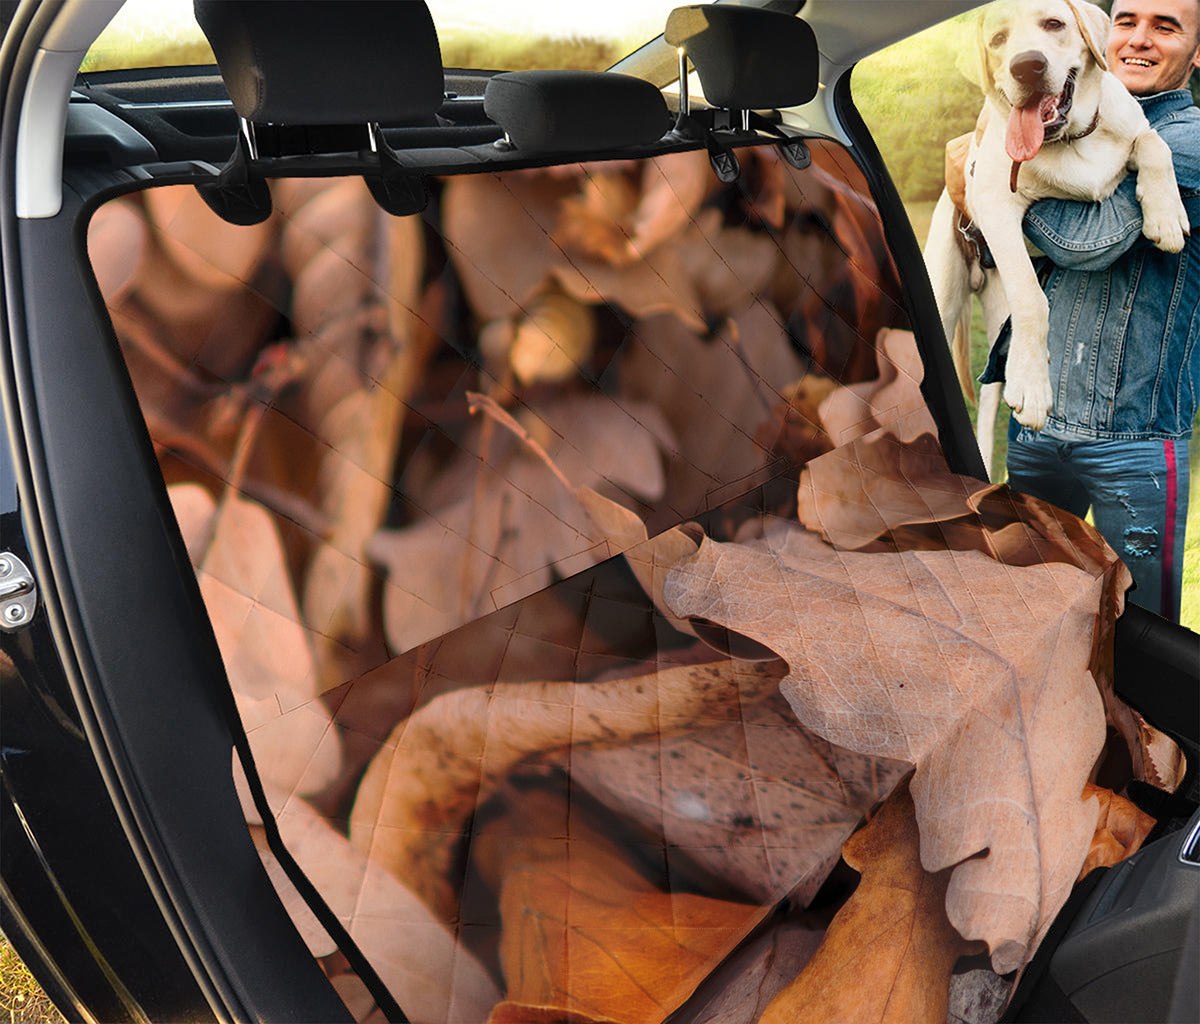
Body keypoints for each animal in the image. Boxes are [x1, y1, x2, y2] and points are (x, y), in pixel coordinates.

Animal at [916, 0, 1190, 475]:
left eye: (1054, 24)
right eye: (998, 40)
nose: (1027, 65)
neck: (1071, 141)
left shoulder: (1135, 129)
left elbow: (1155, 142)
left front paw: (1167, 214)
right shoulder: (995, 201)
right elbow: (1031, 297)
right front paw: (1034, 388)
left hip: (996, 326)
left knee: (989, 400)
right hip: (946, 298)